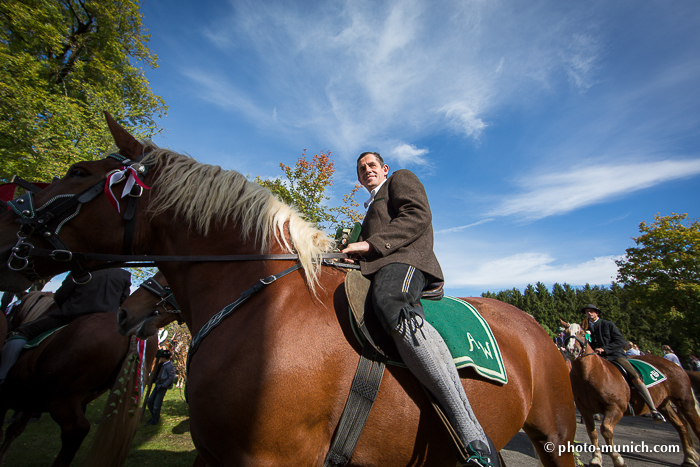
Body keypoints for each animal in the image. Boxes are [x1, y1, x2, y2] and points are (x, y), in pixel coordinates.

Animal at [0, 290, 157, 466]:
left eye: (12, 310)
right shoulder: (31, 401)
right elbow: (15, 429)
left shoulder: (6, 398)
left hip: (62, 397)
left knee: (76, 429)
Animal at [564, 326, 700, 467]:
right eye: (566, 333)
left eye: (582, 333)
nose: (572, 350)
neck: (590, 374)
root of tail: (676, 366)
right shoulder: (585, 410)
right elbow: (592, 433)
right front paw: (596, 458)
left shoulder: (616, 408)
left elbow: (606, 430)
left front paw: (618, 459)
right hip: (664, 404)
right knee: (681, 426)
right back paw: (689, 458)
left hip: (685, 401)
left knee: (695, 425)